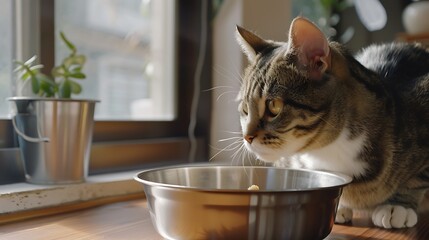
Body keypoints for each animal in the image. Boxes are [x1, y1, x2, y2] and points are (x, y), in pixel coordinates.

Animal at [236, 17, 429, 229]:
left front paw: (398, 206)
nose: (247, 136)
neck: (328, 152)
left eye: (274, 106)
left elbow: (416, 180)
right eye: (245, 109)